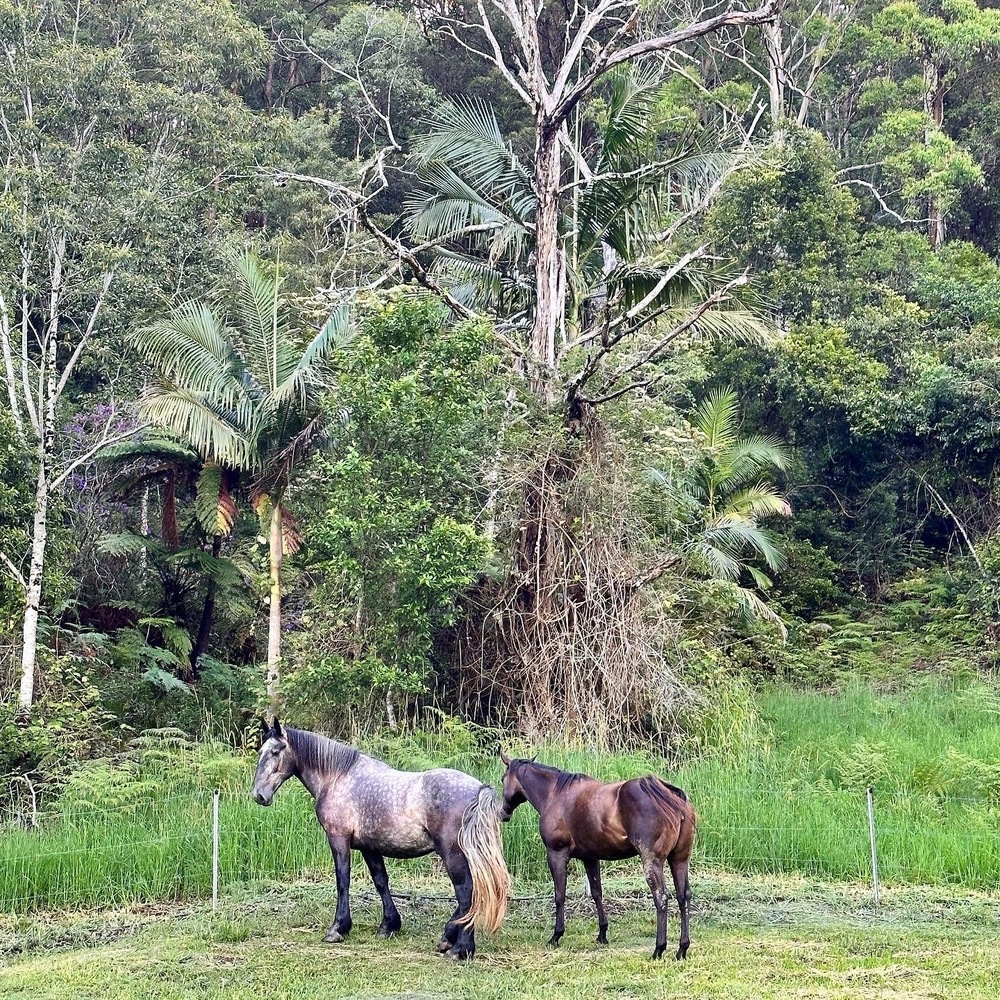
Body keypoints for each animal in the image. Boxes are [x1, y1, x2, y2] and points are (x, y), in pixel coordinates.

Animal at [251, 719, 510, 959]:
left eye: (276, 751)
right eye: (261, 751)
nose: (258, 795)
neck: (336, 777)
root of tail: (478, 789)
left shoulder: (338, 839)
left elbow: (343, 881)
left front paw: (338, 928)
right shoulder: (370, 847)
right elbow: (380, 881)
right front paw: (389, 925)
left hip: (452, 853)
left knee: (466, 893)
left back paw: (460, 949)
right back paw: (448, 936)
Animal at [498, 752, 696, 960]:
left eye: (503, 779)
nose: (503, 813)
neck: (555, 794)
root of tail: (672, 799)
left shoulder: (556, 854)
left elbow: (559, 895)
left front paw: (556, 935)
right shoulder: (590, 858)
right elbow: (596, 893)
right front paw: (602, 933)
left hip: (653, 862)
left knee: (661, 897)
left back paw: (659, 949)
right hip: (679, 860)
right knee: (683, 897)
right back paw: (682, 949)